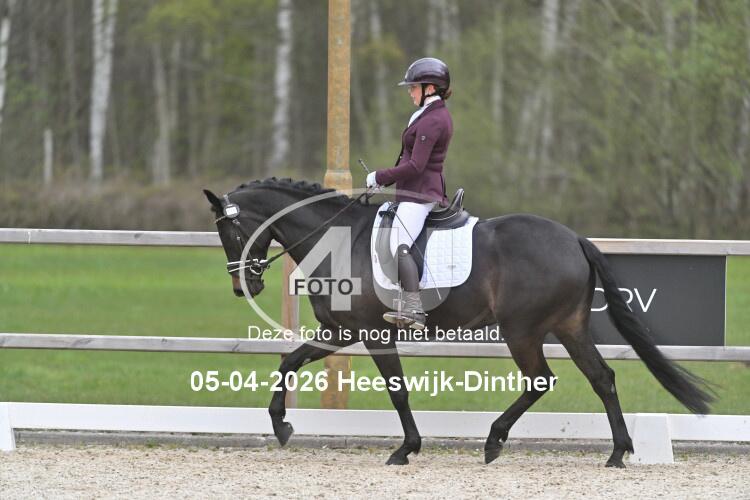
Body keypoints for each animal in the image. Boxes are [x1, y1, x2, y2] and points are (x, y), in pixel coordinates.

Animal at [203, 177, 713, 468]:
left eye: (231, 230)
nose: (242, 286)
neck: (339, 240)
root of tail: (574, 239)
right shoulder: (339, 332)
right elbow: (288, 363)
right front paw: (281, 427)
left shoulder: (371, 334)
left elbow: (397, 391)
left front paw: (406, 449)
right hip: (569, 327)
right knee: (601, 378)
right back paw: (617, 453)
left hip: (522, 331)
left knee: (541, 380)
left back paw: (494, 441)